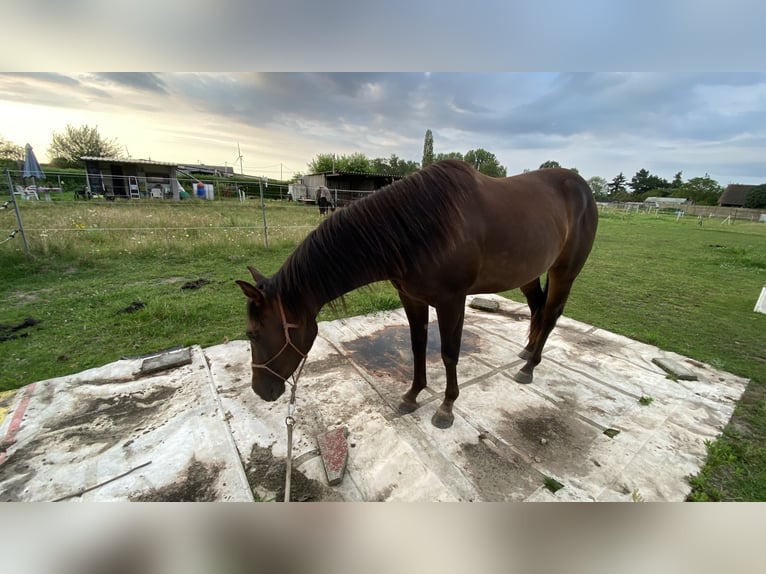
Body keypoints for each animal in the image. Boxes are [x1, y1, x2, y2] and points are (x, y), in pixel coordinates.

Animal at [236, 160, 600, 430]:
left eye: (253, 334)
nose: (260, 391)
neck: (421, 227)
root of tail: (582, 187)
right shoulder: (412, 299)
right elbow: (418, 345)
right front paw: (412, 396)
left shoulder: (451, 301)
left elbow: (450, 353)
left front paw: (446, 407)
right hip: (529, 272)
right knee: (537, 308)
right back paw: (526, 352)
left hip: (564, 272)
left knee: (551, 314)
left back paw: (529, 368)